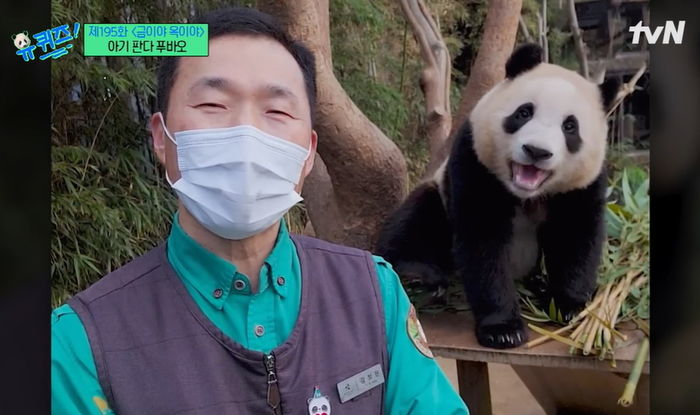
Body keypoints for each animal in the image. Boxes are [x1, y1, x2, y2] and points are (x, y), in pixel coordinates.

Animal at [374, 44, 620, 352]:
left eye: (570, 127)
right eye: (524, 112)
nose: (537, 151)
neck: (525, 194)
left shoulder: (583, 185)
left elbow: (575, 237)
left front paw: (569, 305)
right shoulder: (475, 160)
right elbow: (484, 243)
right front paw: (503, 329)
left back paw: (539, 285)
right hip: (438, 198)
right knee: (417, 217)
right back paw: (419, 276)